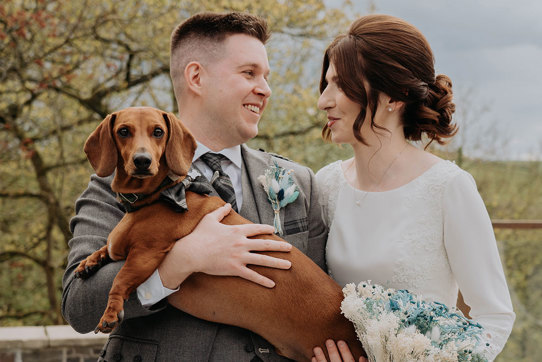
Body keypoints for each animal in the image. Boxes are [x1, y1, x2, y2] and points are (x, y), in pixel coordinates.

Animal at [75, 106, 366, 360]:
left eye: (158, 131)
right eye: (123, 131)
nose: (142, 161)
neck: (159, 196)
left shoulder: (147, 253)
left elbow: (120, 279)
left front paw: (111, 312)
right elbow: (105, 249)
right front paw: (89, 262)